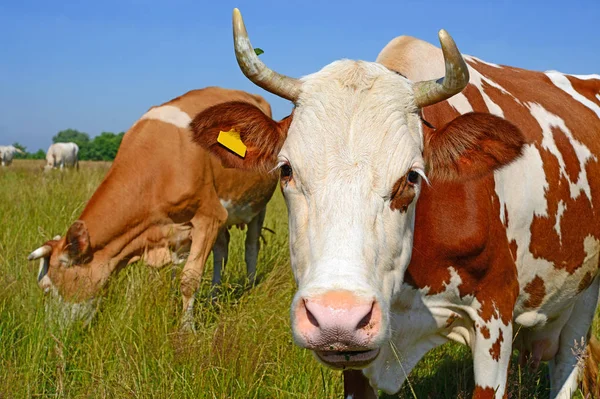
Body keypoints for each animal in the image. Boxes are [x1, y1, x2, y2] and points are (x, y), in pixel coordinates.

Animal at [27, 87, 278, 332]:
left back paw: (250, 287)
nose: (51, 333)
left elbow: (189, 279)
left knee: (251, 247)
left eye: (47, 287)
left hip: (259, 203)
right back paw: (214, 298)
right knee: (221, 250)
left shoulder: (209, 216)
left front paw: (187, 330)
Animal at [192, 8, 600, 399]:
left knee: (567, 366)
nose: (337, 317)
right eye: (286, 170)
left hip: (585, 296)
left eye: (412, 176)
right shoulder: (357, 356)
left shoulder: (494, 315)